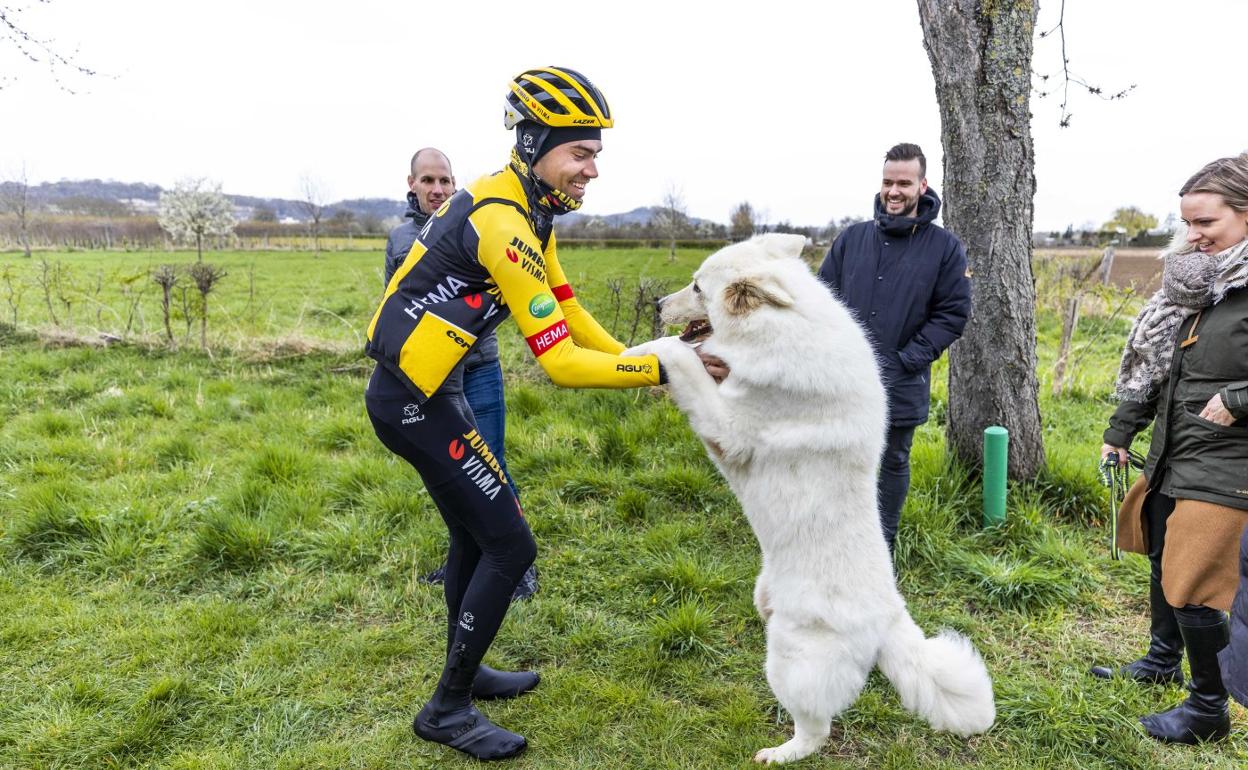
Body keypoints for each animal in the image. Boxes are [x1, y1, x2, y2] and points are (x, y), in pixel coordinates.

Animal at [624, 234, 993, 763]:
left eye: (696, 287)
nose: (656, 304)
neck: (781, 326)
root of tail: (890, 616)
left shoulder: (728, 426)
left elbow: (680, 355)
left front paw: (647, 347)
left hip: (790, 661)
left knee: (817, 730)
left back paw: (780, 753)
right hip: (766, 606)